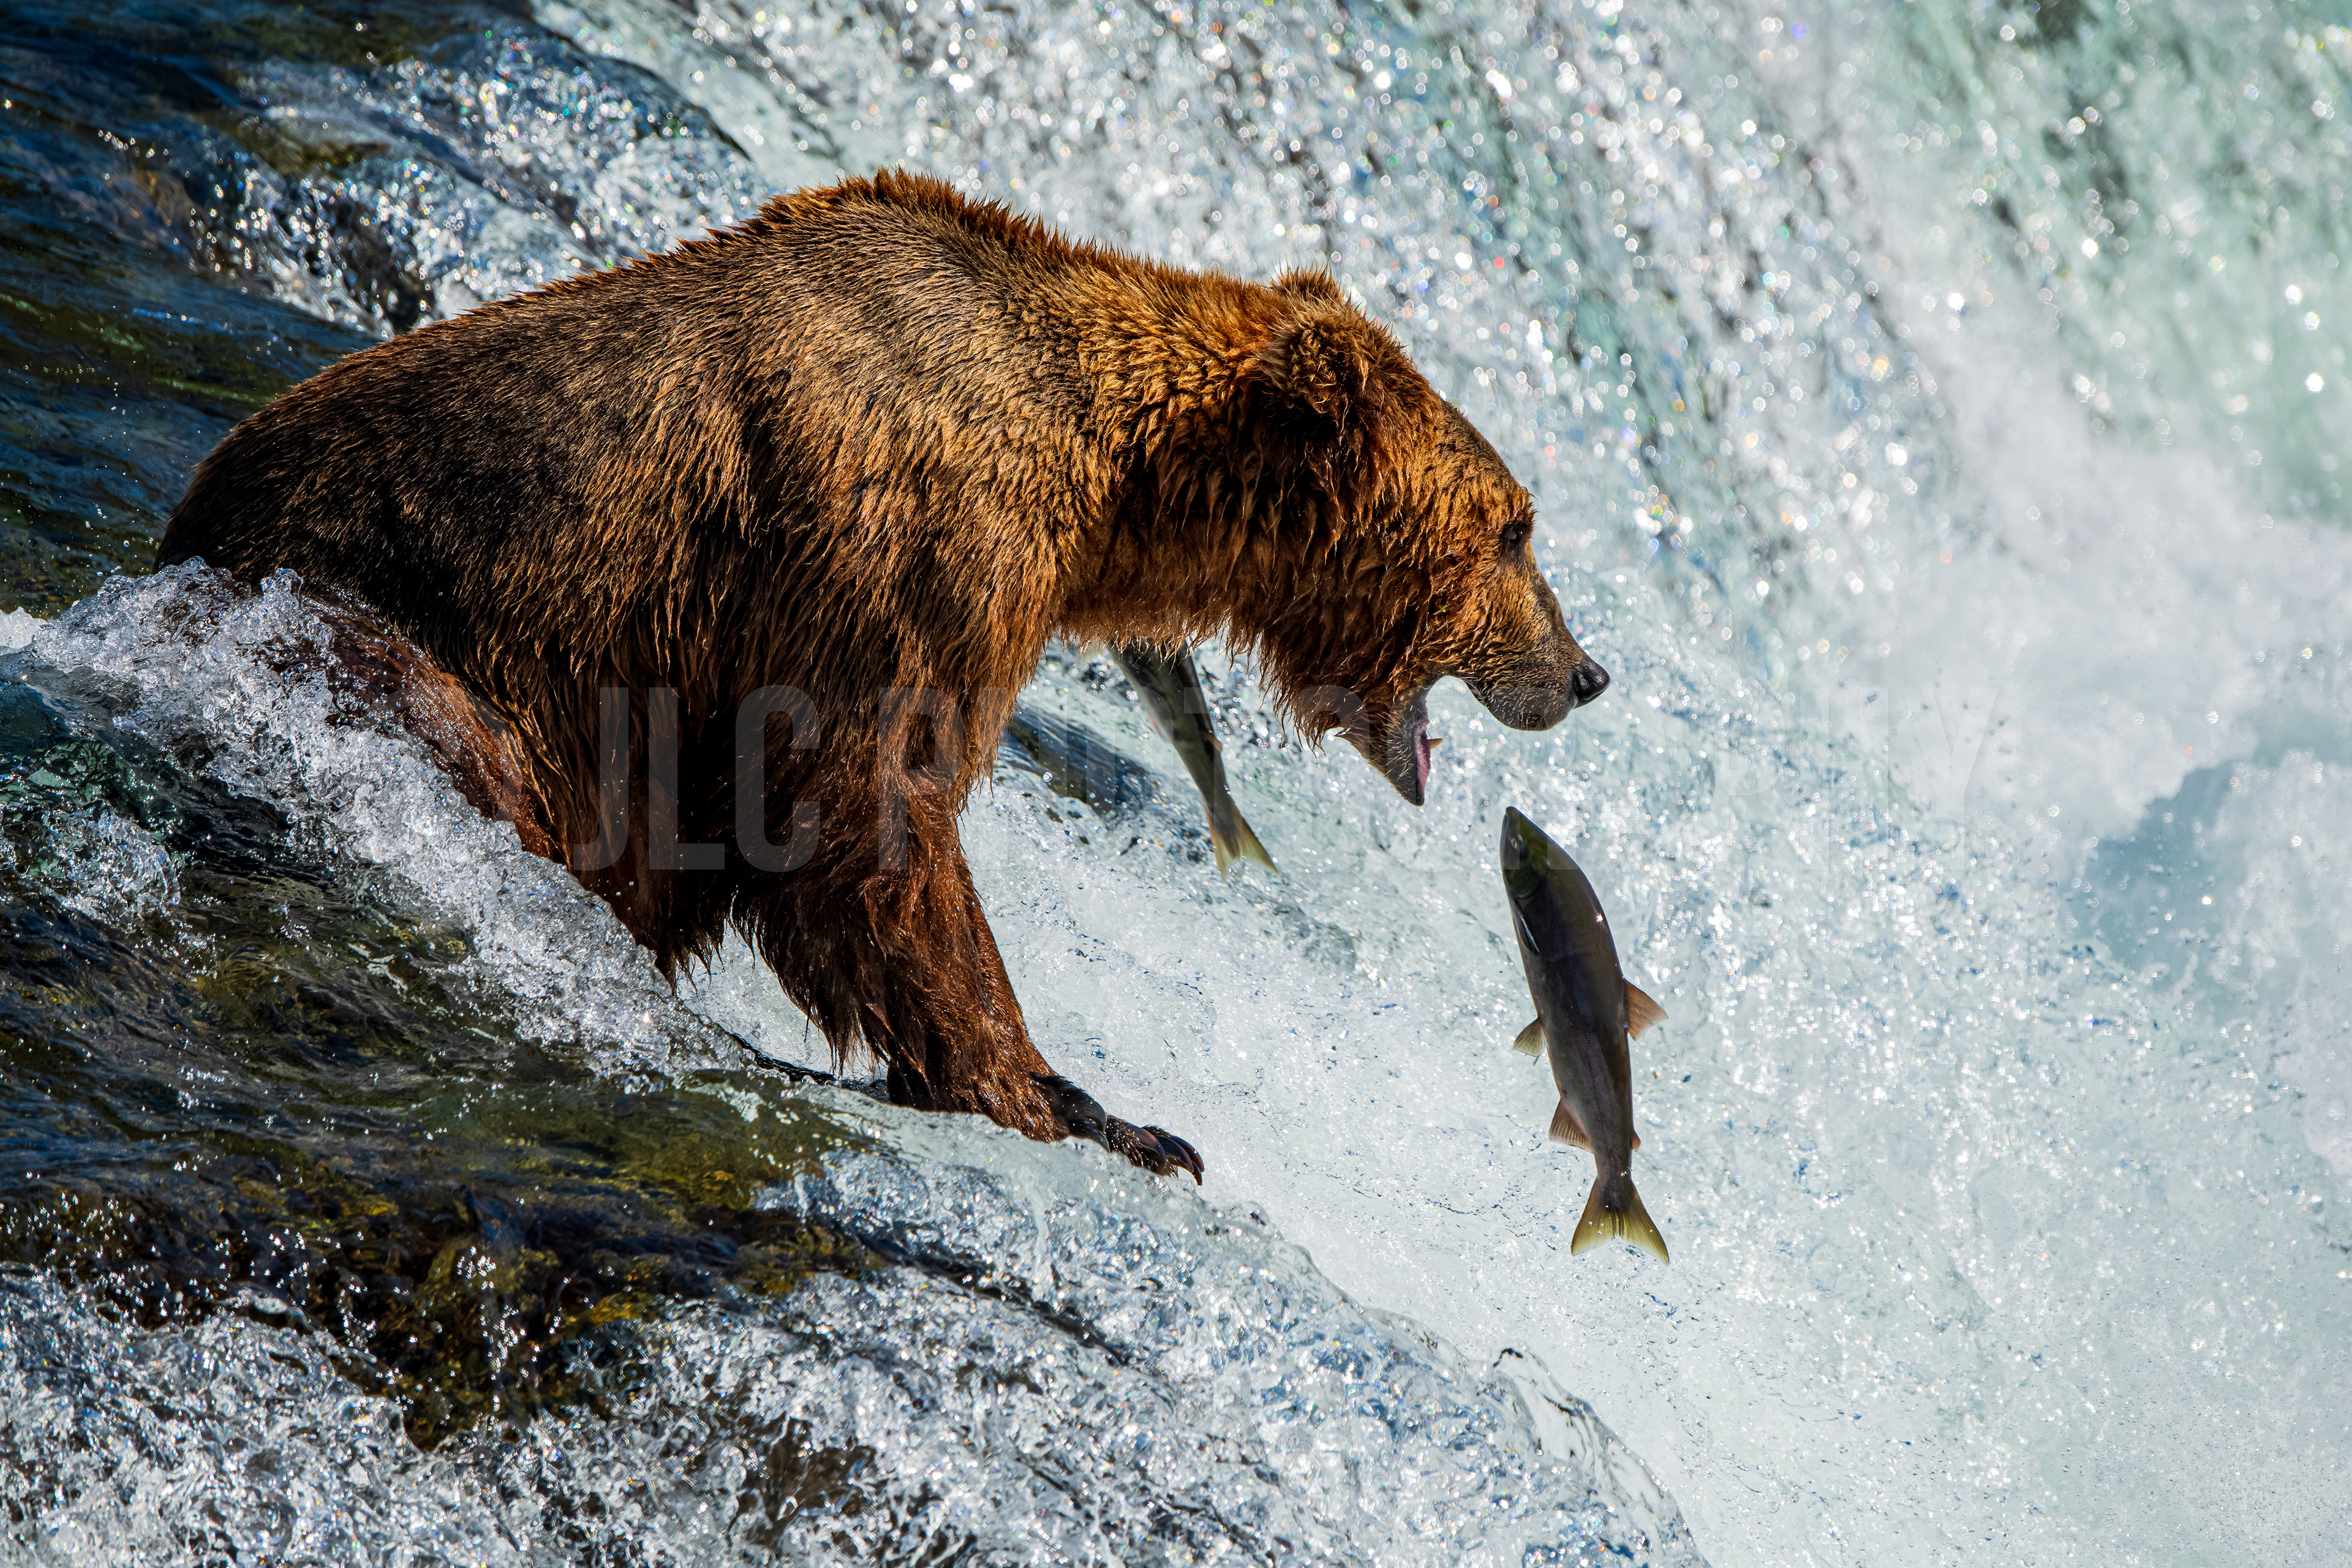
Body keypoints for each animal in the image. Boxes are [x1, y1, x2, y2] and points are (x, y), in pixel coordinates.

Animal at [157, 170, 1609, 1180]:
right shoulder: (892, 563)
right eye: (1516, 527)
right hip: (386, 626)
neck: (1105, 480)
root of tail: (178, 529)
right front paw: (1084, 1105)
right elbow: (866, 815)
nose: (1589, 668)